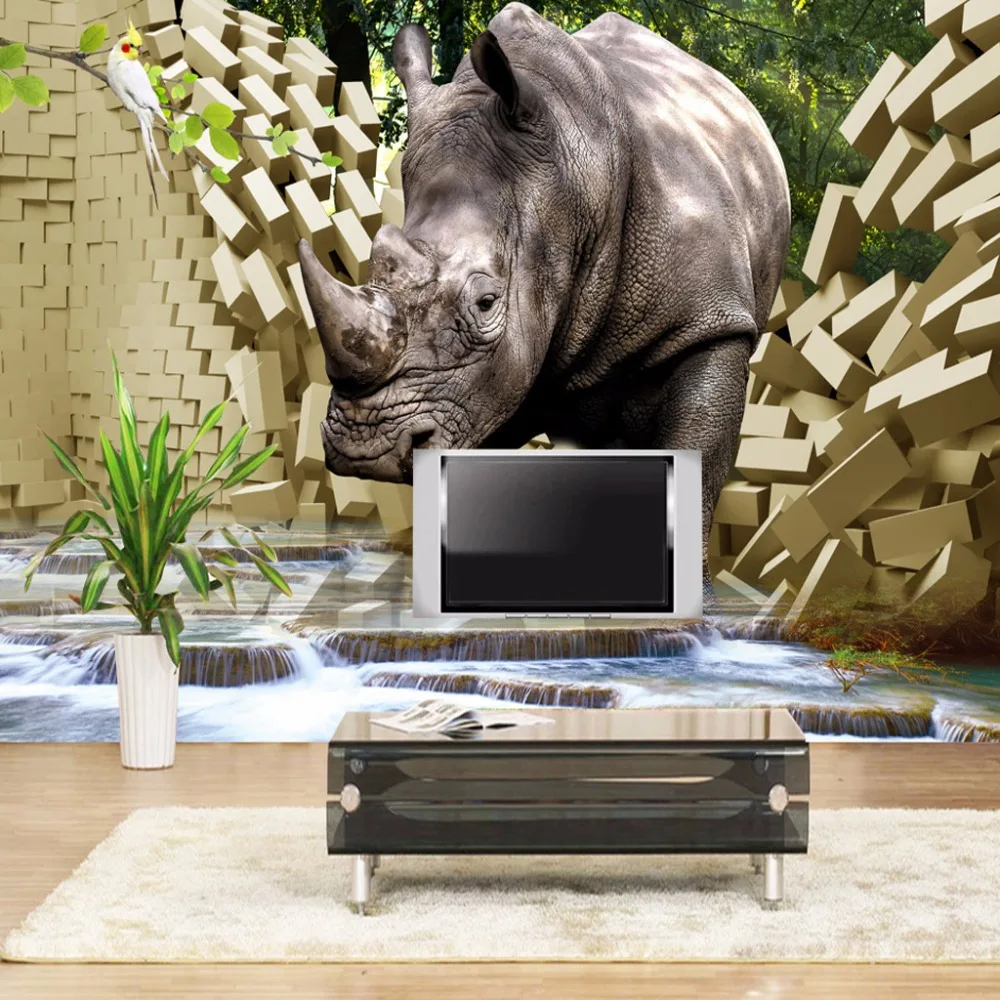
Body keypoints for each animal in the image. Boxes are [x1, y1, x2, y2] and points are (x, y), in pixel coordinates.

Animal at [297, 3, 790, 558]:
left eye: (487, 302)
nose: (364, 448)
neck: (570, 185)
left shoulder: (709, 321)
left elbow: (696, 464)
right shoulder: (484, 390)